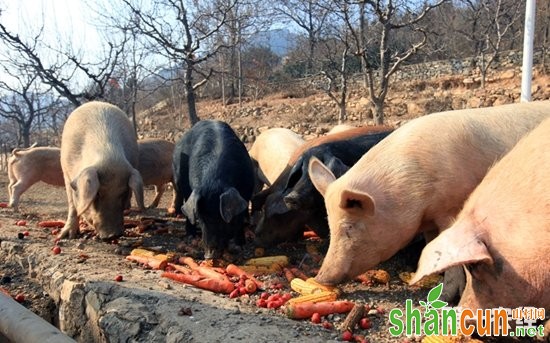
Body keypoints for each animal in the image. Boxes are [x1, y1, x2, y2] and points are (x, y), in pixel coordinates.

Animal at [58, 101, 144, 241]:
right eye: (97, 194)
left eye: (123, 192)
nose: (113, 235)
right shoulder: (66, 173)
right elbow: (73, 205)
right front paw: (66, 236)